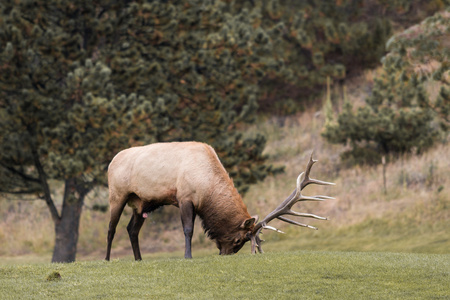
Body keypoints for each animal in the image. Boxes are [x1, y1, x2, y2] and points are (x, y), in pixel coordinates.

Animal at [103, 141, 332, 260]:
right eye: (239, 240)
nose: (225, 254)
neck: (207, 187)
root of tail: (111, 161)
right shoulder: (184, 197)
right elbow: (188, 230)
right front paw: (188, 256)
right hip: (117, 194)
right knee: (112, 228)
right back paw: (107, 259)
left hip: (140, 203)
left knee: (131, 229)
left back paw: (139, 259)